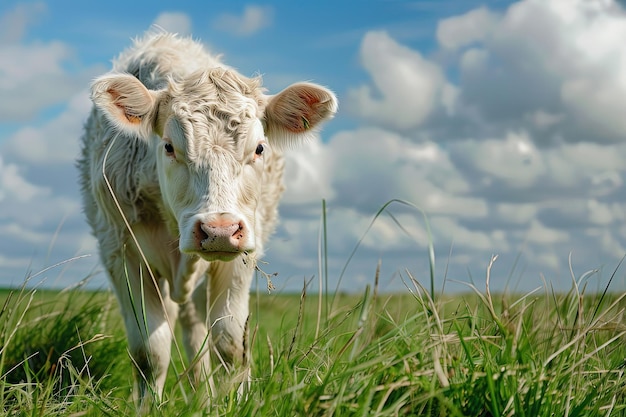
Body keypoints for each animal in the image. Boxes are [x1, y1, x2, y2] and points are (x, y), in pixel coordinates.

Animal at [79, 31, 336, 406]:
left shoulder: (242, 255)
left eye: (259, 148)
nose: (219, 231)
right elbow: (150, 350)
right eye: (169, 147)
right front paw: (148, 407)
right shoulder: (122, 253)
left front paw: (234, 402)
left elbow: (230, 344)